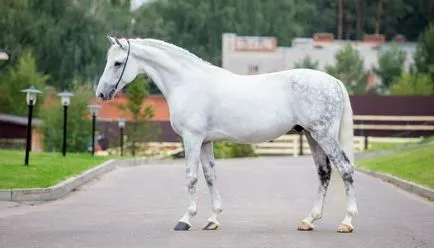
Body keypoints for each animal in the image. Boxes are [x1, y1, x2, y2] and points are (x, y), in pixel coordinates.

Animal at [97, 35, 360, 233]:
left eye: (117, 63)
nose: (101, 94)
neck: (187, 83)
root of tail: (334, 82)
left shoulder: (192, 138)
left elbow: (191, 177)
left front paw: (185, 220)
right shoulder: (205, 141)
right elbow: (210, 176)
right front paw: (212, 220)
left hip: (324, 135)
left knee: (345, 169)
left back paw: (346, 222)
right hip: (311, 136)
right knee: (324, 173)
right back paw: (308, 220)